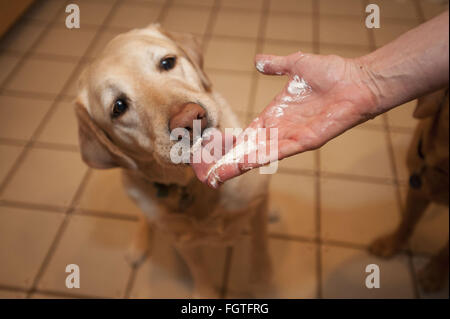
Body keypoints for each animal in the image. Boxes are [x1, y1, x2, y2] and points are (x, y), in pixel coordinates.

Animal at [74, 23, 270, 298]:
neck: (195, 185)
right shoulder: (183, 243)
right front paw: (205, 293)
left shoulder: (258, 206)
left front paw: (262, 282)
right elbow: (199, 269)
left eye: (167, 62)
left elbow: (260, 246)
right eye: (118, 107)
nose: (188, 119)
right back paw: (137, 246)